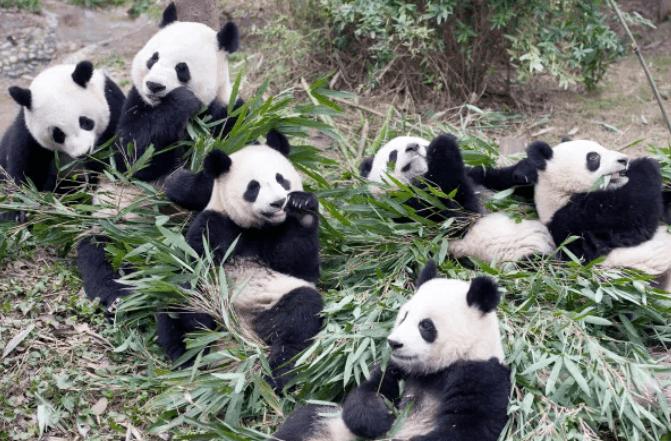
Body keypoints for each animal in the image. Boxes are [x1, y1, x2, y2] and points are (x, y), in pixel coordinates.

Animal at [0, 61, 124, 197]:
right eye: (58, 134)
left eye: (85, 122)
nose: (83, 153)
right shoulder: (28, 134)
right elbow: (25, 171)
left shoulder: (113, 105)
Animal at [156, 130, 323, 390]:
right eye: (253, 187)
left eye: (281, 180)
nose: (278, 202)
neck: (258, 228)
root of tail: (242, 329)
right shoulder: (214, 223)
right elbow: (194, 263)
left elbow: (301, 265)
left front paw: (302, 208)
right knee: (180, 302)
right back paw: (190, 351)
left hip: (276, 300)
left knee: (300, 315)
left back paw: (277, 372)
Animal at [274, 260, 511, 441]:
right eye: (404, 316)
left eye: (425, 325)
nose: (394, 343)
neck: (438, 369)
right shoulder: (398, 367)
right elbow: (368, 392)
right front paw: (383, 418)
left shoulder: (482, 376)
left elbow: (466, 428)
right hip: (332, 425)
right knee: (305, 421)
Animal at [360, 135, 554, 262]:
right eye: (393, 154)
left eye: (423, 145)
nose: (413, 146)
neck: (420, 178)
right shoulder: (404, 209)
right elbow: (456, 216)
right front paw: (443, 143)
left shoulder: (478, 178)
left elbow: (500, 178)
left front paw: (525, 171)